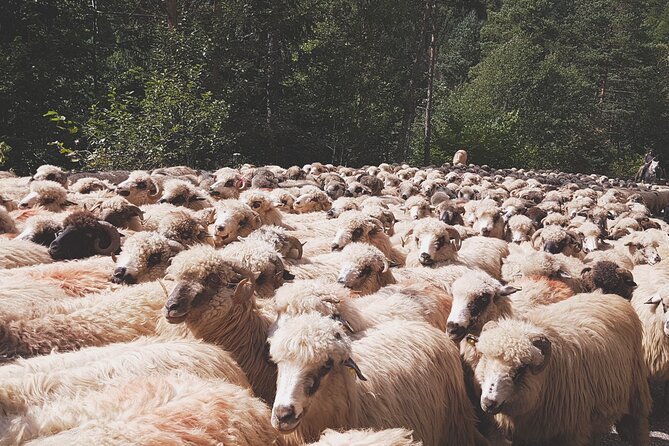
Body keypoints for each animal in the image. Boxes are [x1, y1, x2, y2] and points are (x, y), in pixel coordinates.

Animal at [472, 292, 648, 446]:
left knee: (638, 425)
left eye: (521, 369)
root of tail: (610, 296)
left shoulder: (570, 433)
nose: (488, 402)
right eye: (485, 358)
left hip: (636, 391)